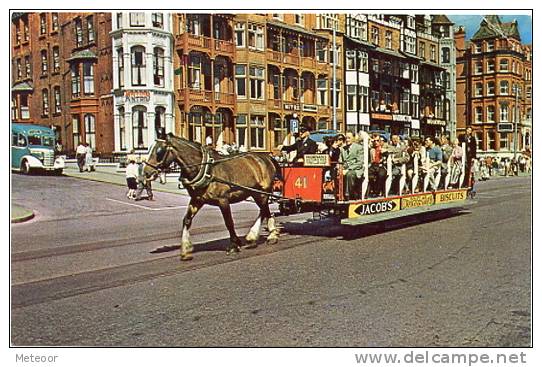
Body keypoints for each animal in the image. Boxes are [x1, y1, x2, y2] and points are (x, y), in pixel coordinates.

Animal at [144, 134, 280, 260]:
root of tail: (267, 157)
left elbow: (229, 222)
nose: (146, 172)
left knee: (265, 210)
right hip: (255, 193)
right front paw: (186, 250)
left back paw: (268, 235)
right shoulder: (197, 200)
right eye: (149, 148)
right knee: (264, 211)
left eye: (159, 151)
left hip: (262, 192)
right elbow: (187, 220)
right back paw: (257, 237)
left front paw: (234, 245)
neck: (206, 170)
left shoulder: (223, 200)